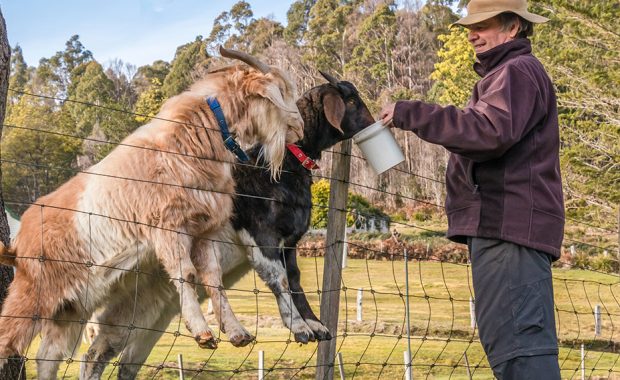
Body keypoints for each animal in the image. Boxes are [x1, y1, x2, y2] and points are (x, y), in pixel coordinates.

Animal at [0, 46, 302, 378]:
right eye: (282, 91)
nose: (299, 128)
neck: (193, 136)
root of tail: (19, 241)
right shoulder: (167, 226)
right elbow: (187, 274)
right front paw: (202, 333)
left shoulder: (204, 229)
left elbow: (213, 280)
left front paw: (236, 332)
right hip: (33, 292)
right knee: (7, 339)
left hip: (70, 309)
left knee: (47, 356)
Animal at [81, 72, 372, 378]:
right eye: (352, 100)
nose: (377, 123)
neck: (282, 161)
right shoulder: (261, 233)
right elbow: (278, 278)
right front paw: (299, 327)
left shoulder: (290, 241)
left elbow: (294, 279)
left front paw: (315, 324)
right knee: (95, 354)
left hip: (149, 313)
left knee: (113, 358)